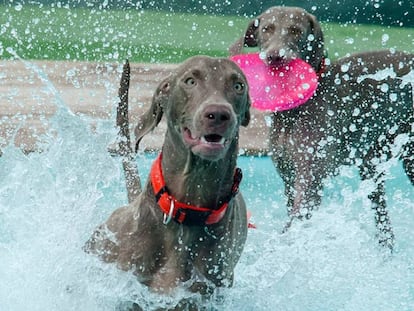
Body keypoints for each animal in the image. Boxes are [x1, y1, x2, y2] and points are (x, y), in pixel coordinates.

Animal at [231, 6, 412, 252]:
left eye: (296, 30)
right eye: (267, 29)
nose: (275, 57)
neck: (294, 110)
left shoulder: (310, 180)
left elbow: (295, 221)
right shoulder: (289, 178)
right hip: (372, 163)